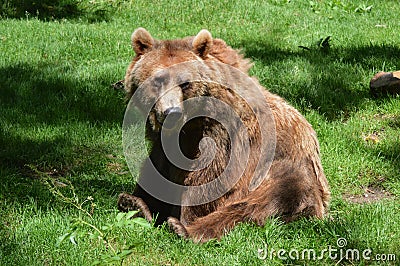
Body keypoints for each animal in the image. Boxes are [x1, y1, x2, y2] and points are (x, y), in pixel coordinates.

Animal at [117, 28, 330, 242]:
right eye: (158, 80)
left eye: (185, 84)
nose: (171, 112)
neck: (189, 126)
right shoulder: (167, 143)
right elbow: (156, 168)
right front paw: (137, 201)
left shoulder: (225, 138)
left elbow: (207, 178)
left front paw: (182, 219)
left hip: (285, 173)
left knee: (258, 204)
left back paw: (183, 229)